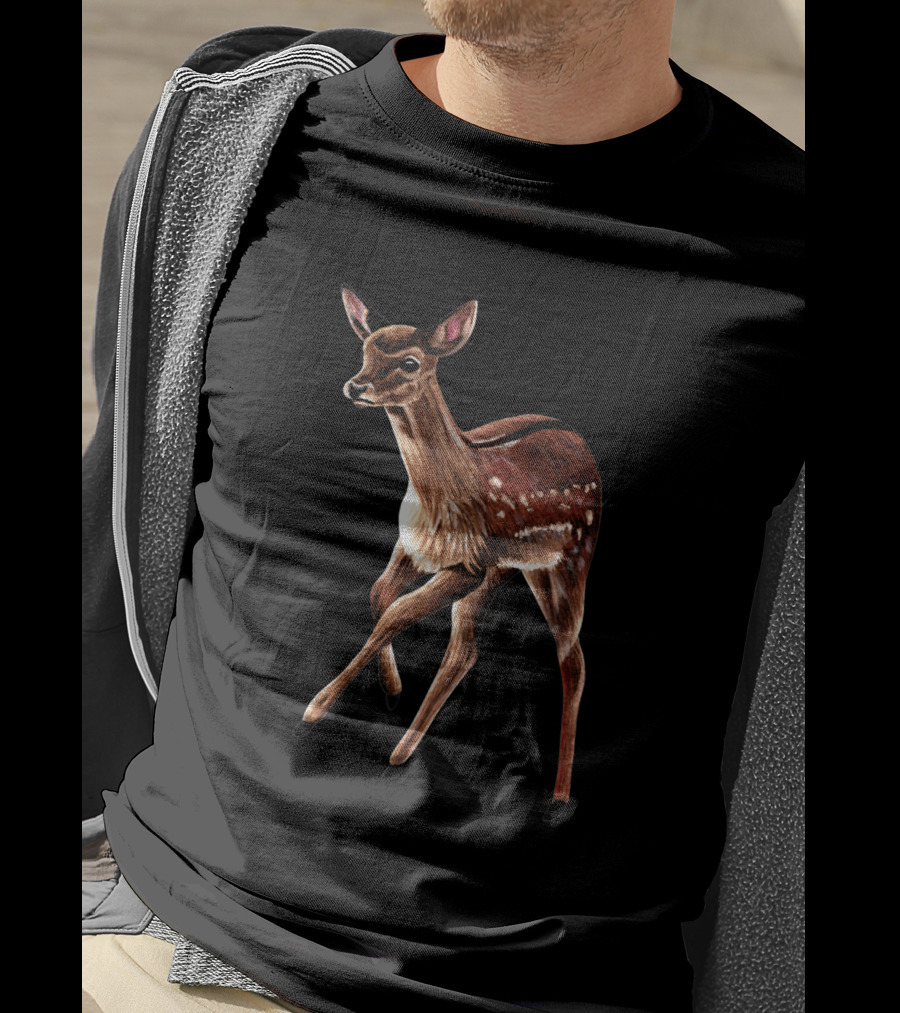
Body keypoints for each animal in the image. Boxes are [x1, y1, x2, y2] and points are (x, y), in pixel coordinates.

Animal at [302, 288, 602, 802]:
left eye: (409, 362)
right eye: (366, 349)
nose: (356, 386)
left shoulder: (468, 565)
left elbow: (396, 613)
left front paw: (317, 705)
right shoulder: (413, 548)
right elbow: (380, 597)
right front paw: (393, 687)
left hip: (570, 558)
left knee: (572, 658)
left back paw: (560, 793)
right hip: (513, 567)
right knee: (468, 648)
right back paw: (403, 749)